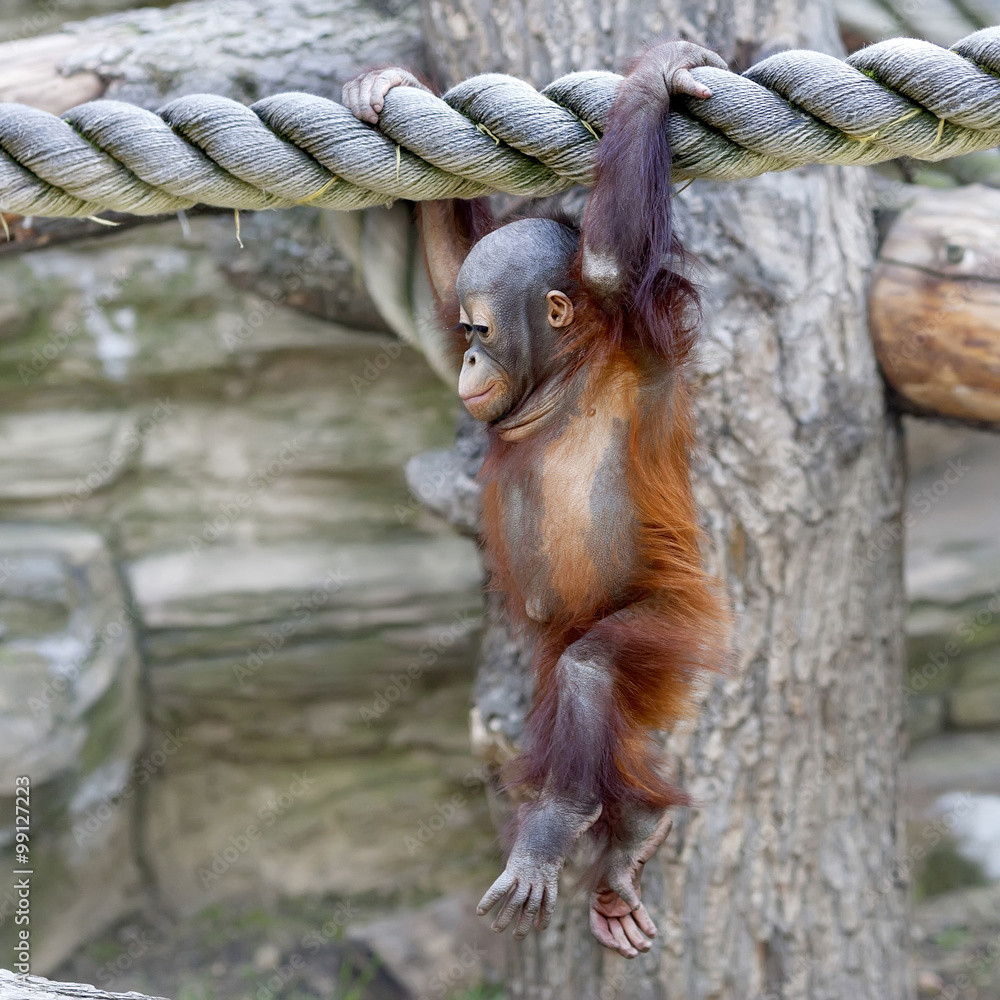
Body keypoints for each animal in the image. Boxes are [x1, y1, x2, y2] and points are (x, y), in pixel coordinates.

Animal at [345, 40, 730, 959]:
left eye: (482, 333)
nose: (466, 363)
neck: (566, 371)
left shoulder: (639, 326)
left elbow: (608, 264)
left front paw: (655, 79)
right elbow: (444, 265)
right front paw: (389, 86)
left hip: (674, 621)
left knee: (594, 670)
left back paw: (564, 823)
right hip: (571, 645)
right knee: (584, 704)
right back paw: (629, 843)